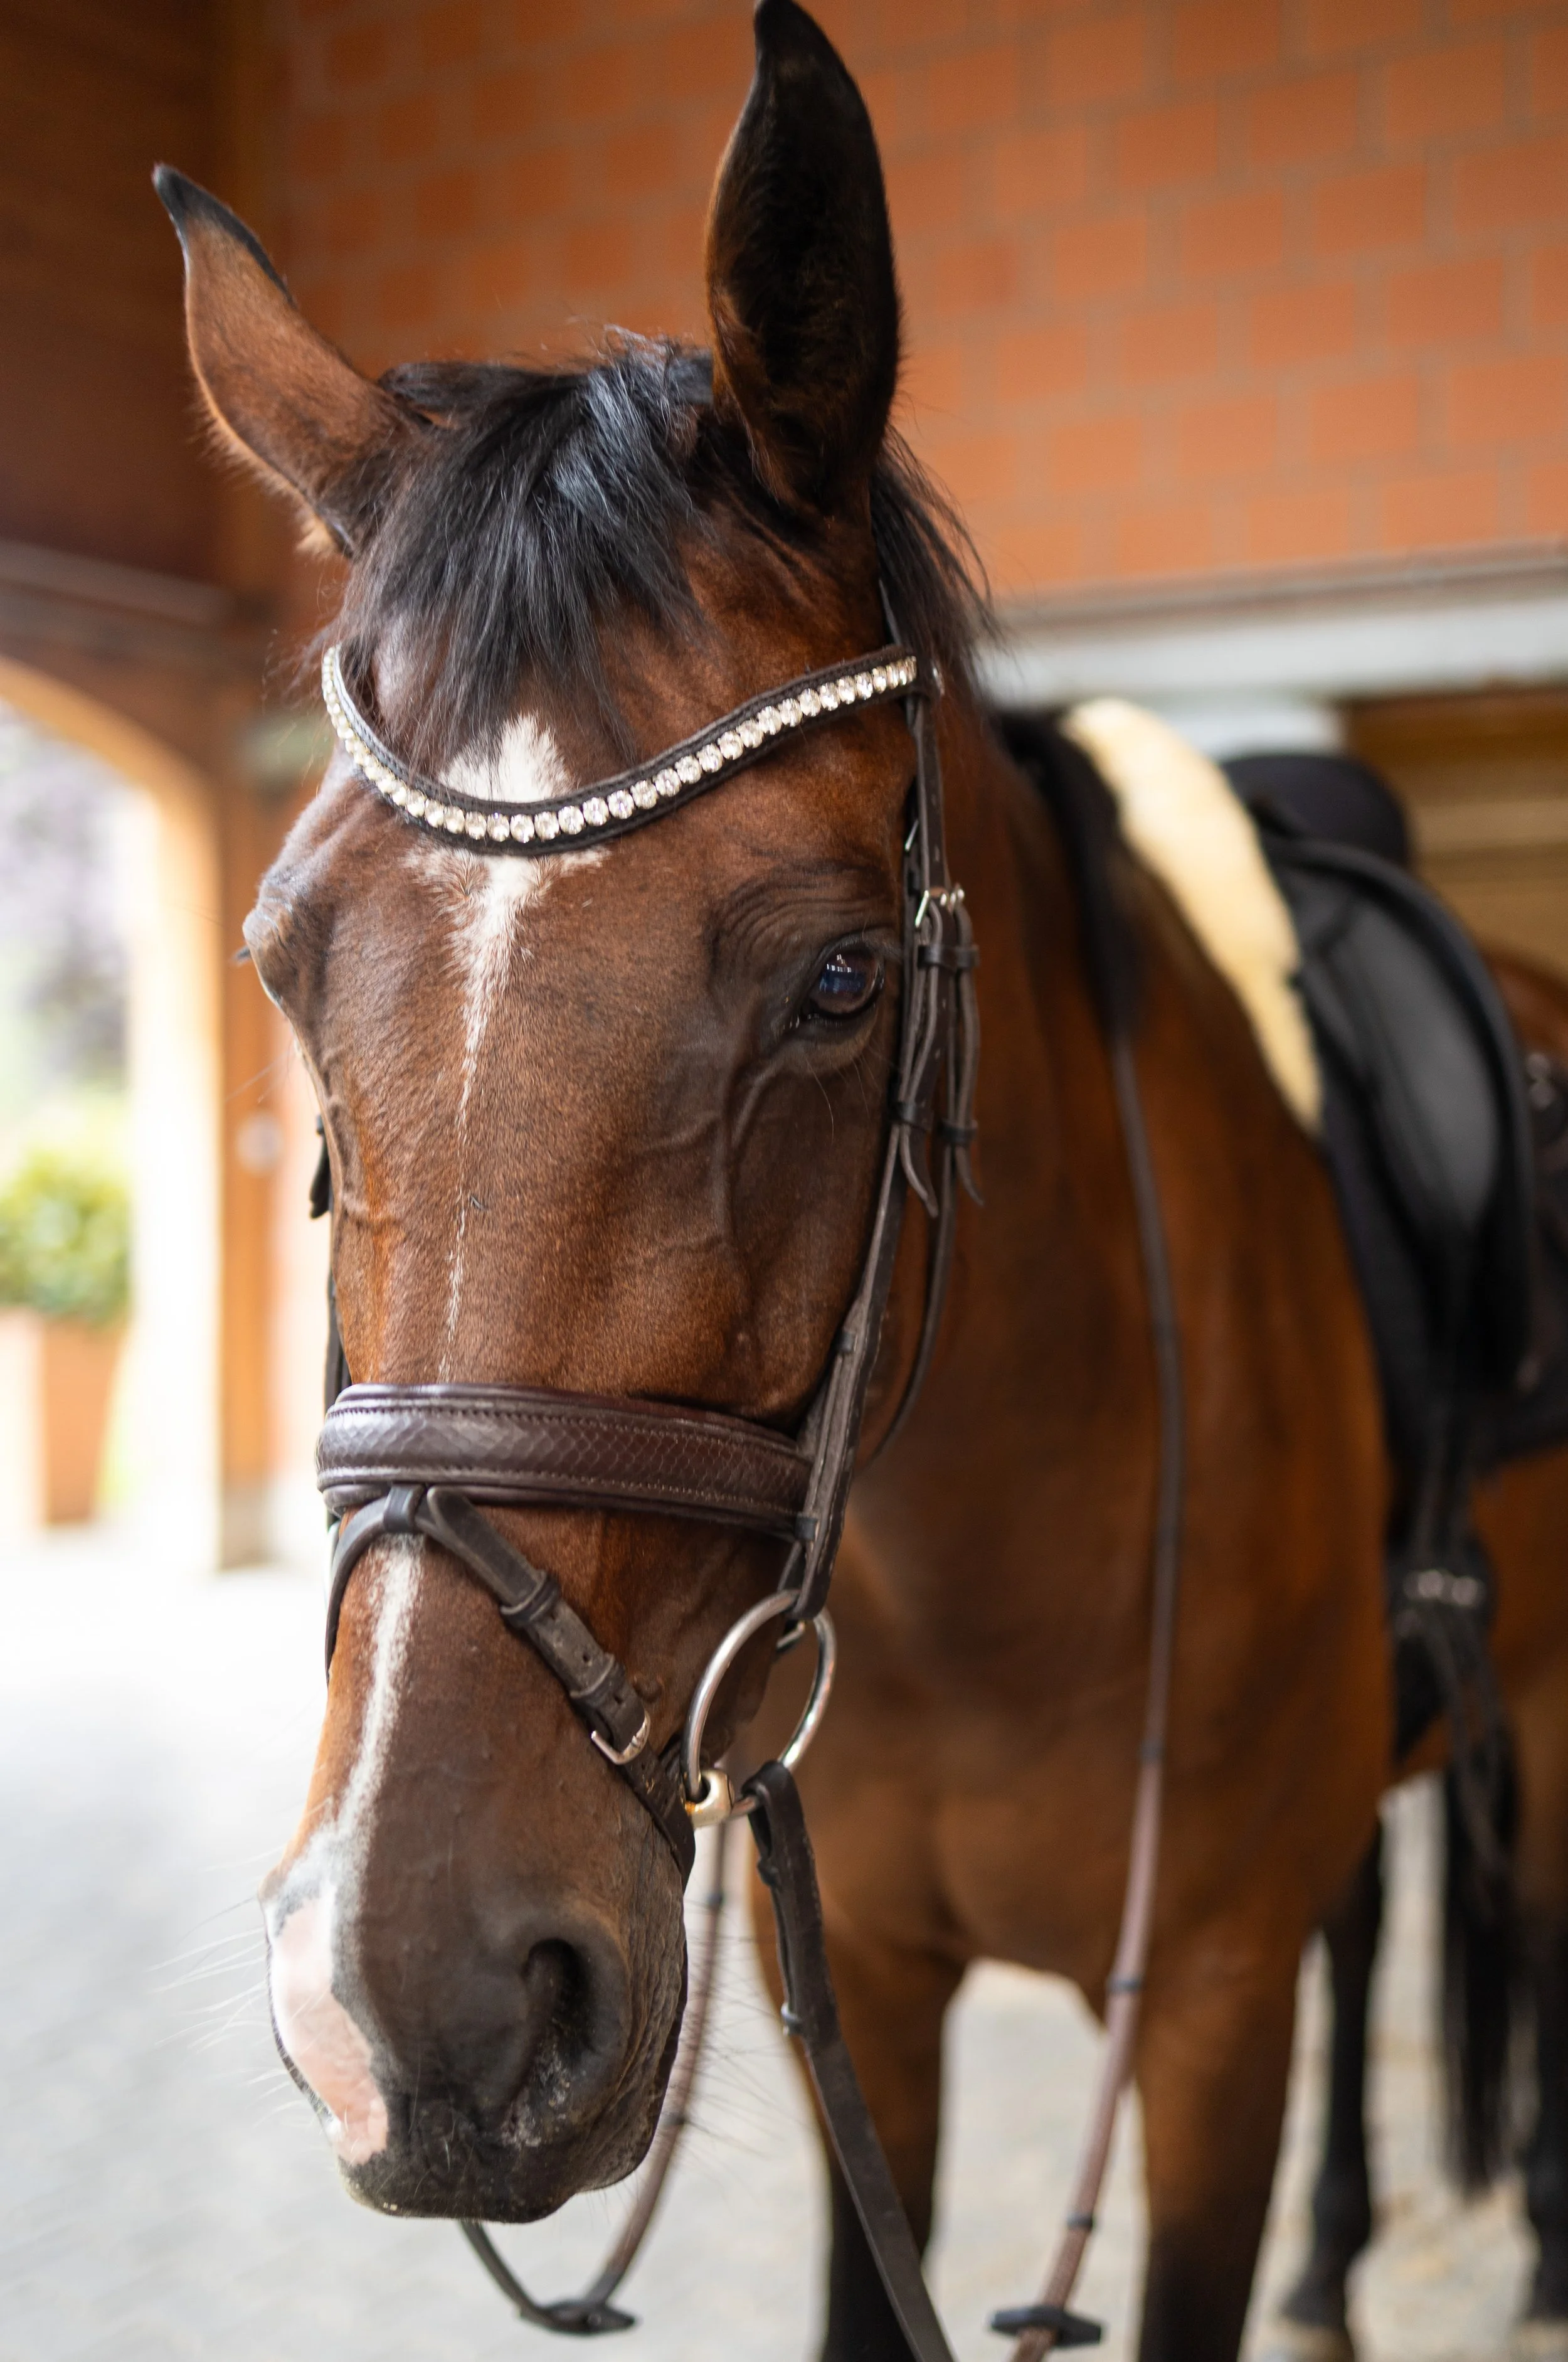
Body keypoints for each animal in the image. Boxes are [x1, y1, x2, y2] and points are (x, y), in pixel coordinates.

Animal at [155, 6, 1568, 2357]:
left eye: (838, 977)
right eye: (284, 959)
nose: (415, 2004)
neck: (995, 1547)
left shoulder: (1205, 2020)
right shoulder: (876, 1998)